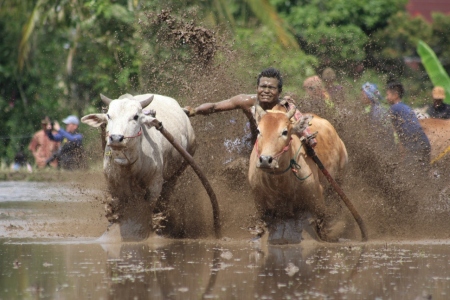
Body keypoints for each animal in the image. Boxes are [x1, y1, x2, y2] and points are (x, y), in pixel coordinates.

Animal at [81, 93, 196, 241]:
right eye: (108, 115)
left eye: (135, 116)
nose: (116, 138)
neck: (130, 164)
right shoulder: (113, 182)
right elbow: (117, 204)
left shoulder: (155, 183)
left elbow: (150, 206)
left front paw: (153, 229)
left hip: (181, 167)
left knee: (167, 193)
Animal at [250, 106, 348, 243]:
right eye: (258, 130)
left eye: (285, 132)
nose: (265, 160)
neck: (280, 183)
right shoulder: (260, 203)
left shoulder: (317, 198)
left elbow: (322, 224)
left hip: (340, 178)